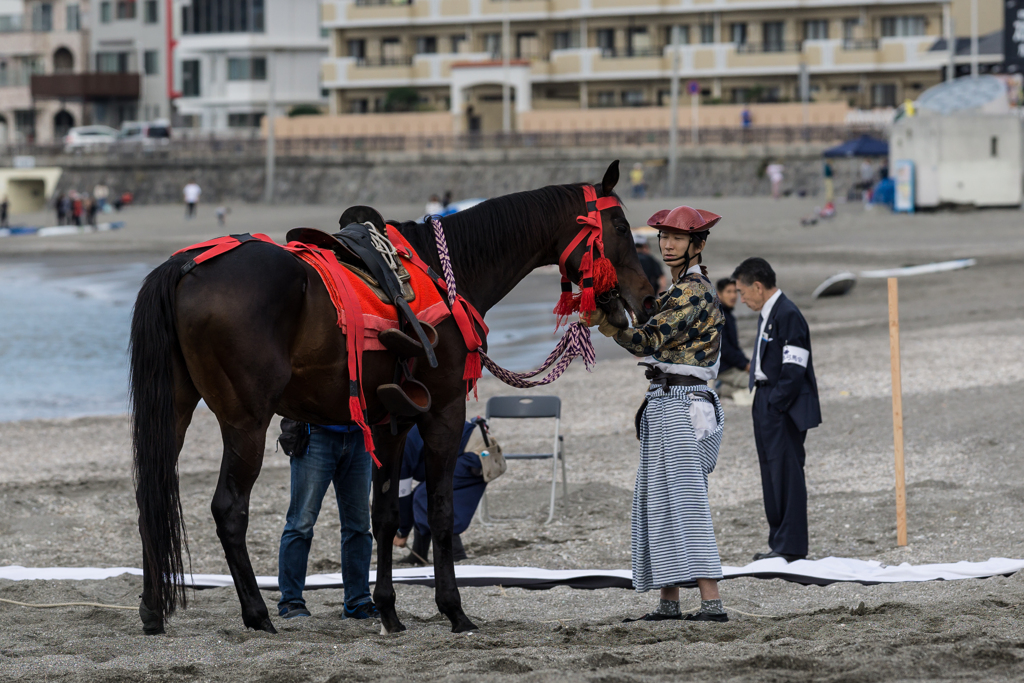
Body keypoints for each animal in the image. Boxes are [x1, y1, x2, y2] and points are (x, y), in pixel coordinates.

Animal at [129, 160, 655, 636]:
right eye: (621, 226)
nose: (649, 296)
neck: (445, 270)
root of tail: (185, 265)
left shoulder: (390, 423)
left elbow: (383, 515)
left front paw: (387, 610)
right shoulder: (443, 412)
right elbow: (440, 511)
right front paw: (453, 609)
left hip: (174, 413)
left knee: (150, 496)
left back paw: (153, 609)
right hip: (246, 422)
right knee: (229, 509)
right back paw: (257, 613)